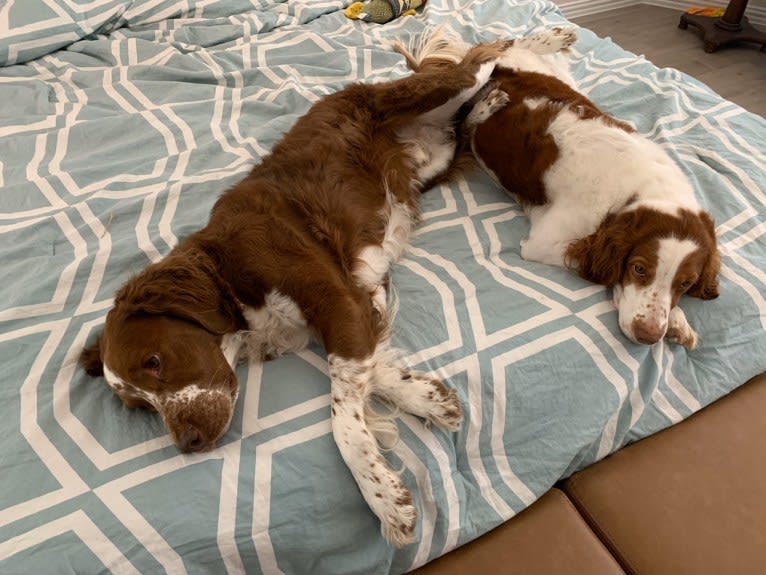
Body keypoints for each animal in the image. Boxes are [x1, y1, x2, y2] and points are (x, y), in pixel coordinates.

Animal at [81, 39, 520, 544]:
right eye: (139, 406)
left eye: (154, 362)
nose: (188, 444)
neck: (229, 276)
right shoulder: (355, 297)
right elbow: (370, 366)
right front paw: (427, 398)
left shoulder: (332, 297)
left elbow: (343, 419)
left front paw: (384, 497)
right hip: (432, 164)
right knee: (462, 127)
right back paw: (488, 104)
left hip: (436, 90)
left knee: (478, 59)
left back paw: (531, 44)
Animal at [400, 27, 724, 348]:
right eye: (639, 268)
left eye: (686, 283)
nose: (649, 336)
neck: (638, 191)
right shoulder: (544, 242)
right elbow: (597, 267)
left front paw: (677, 320)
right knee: (499, 46)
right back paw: (550, 38)